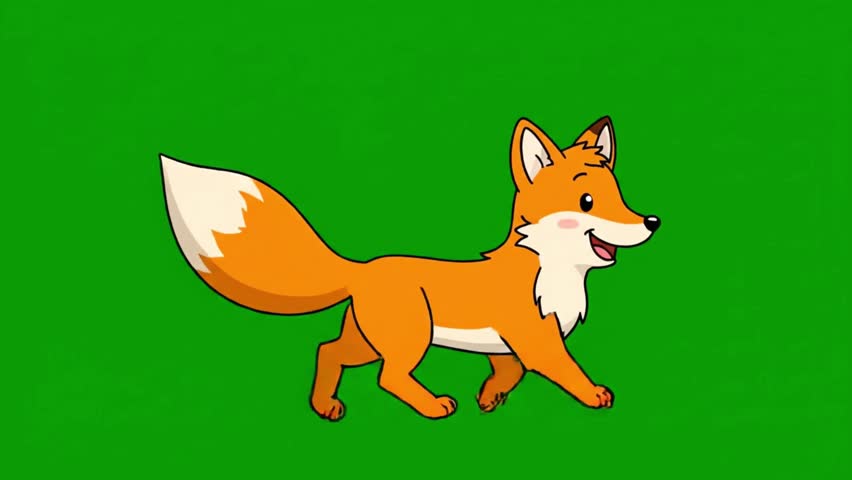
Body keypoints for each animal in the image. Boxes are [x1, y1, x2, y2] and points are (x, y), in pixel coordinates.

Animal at [160, 116, 661, 421]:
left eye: (619, 195)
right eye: (587, 201)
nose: (652, 222)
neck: (554, 273)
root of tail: (363, 267)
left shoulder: (508, 347)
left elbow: (509, 374)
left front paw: (489, 397)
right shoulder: (537, 340)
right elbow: (566, 371)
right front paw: (594, 395)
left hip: (367, 341)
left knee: (327, 351)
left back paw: (324, 406)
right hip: (410, 339)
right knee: (388, 377)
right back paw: (433, 405)